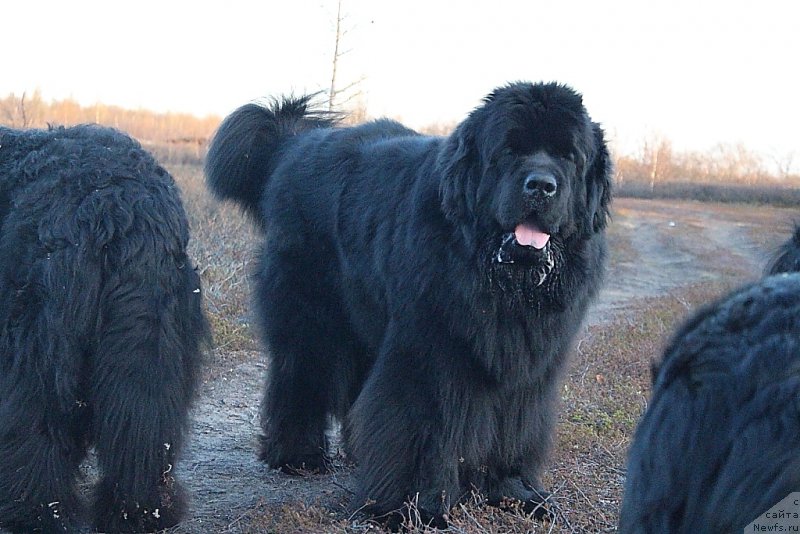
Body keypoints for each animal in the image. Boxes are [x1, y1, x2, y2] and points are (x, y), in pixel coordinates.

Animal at [0, 124, 209, 532]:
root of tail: (124, 205)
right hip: (151, 334)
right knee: (146, 423)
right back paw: (141, 511)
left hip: (43, 334)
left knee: (39, 422)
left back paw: (36, 511)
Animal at [206, 80, 612, 528]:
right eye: (509, 150)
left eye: (569, 156)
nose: (541, 185)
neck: (499, 280)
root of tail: (294, 145)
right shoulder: (428, 356)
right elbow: (421, 426)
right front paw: (409, 508)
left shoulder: (526, 368)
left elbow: (513, 428)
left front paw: (514, 493)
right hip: (312, 316)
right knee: (300, 374)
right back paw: (298, 455)